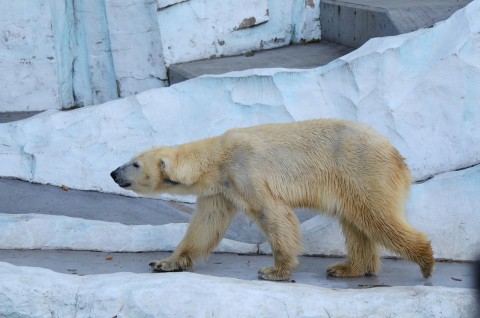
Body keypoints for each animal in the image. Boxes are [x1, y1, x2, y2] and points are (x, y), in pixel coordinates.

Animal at [111, 119, 436, 280]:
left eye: (135, 163)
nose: (113, 172)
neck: (217, 157)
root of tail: (397, 156)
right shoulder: (220, 189)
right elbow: (205, 225)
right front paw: (163, 263)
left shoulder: (245, 171)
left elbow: (273, 214)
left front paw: (274, 271)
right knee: (355, 222)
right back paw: (347, 268)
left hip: (362, 169)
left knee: (377, 216)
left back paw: (425, 261)